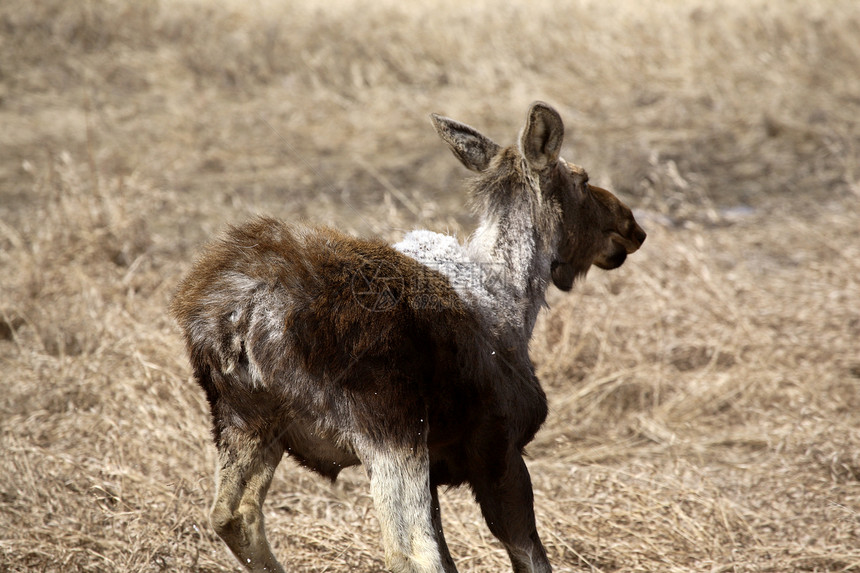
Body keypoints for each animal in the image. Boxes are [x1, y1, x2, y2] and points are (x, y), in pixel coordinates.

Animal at [171, 103, 644, 572]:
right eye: (581, 179)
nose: (630, 224)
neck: (516, 299)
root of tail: (236, 318)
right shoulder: (498, 446)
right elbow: (526, 555)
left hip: (244, 418)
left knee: (231, 514)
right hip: (390, 426)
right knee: (410, 550)